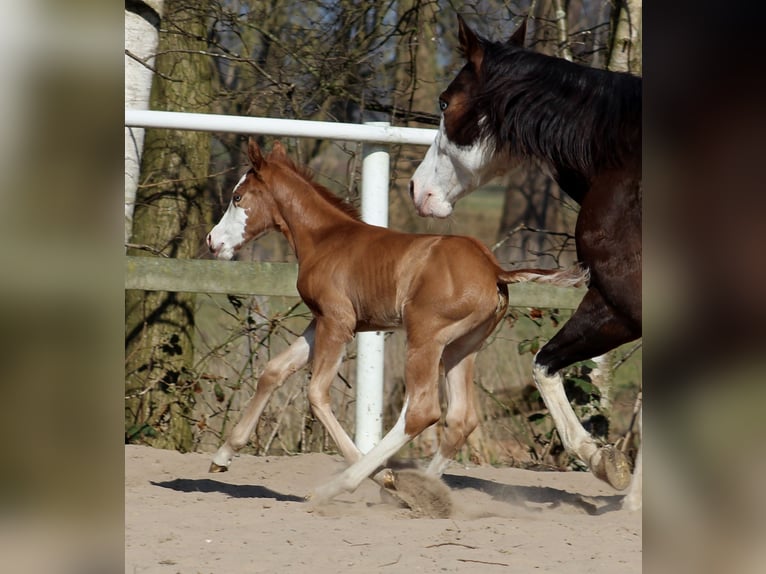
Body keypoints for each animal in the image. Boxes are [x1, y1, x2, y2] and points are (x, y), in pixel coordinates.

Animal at [207, 140, 584, 508]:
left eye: (237, 197)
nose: (213, 241)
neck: (326, 239)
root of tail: (494, 269)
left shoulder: (337, 323)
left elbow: (316, 394)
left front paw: (383, 477)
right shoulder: (321, 322)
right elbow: (273, 371)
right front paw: (222, 456)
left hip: (424, 339)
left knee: (421, 411)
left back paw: (345, 487)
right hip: (461, 348)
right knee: (460, 418)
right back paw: (421, 493)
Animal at [412, 16, 644, 512]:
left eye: (445, 102)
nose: (416, 189)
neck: (622, 160)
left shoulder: (622, 301)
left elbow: (544, 365)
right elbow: (545, 365)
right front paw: (615, 472)